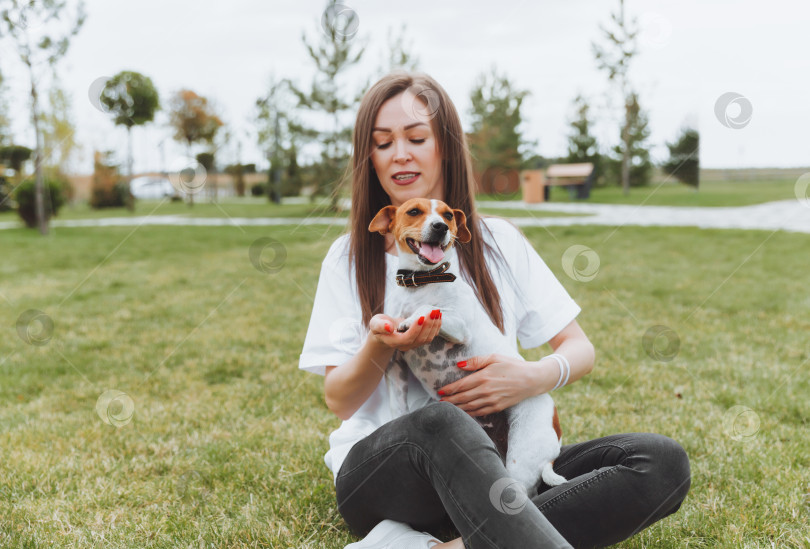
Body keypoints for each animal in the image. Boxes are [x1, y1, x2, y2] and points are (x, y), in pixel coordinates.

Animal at [370, 198, 564, 492]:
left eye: (448, 215)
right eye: (414, 211)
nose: (440, 227)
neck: (422, 282)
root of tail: (556, 437)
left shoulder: (460, 327)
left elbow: (430, 309)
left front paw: (414, 318)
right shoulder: (397, 366)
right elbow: (398, 405)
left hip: (520, 461)